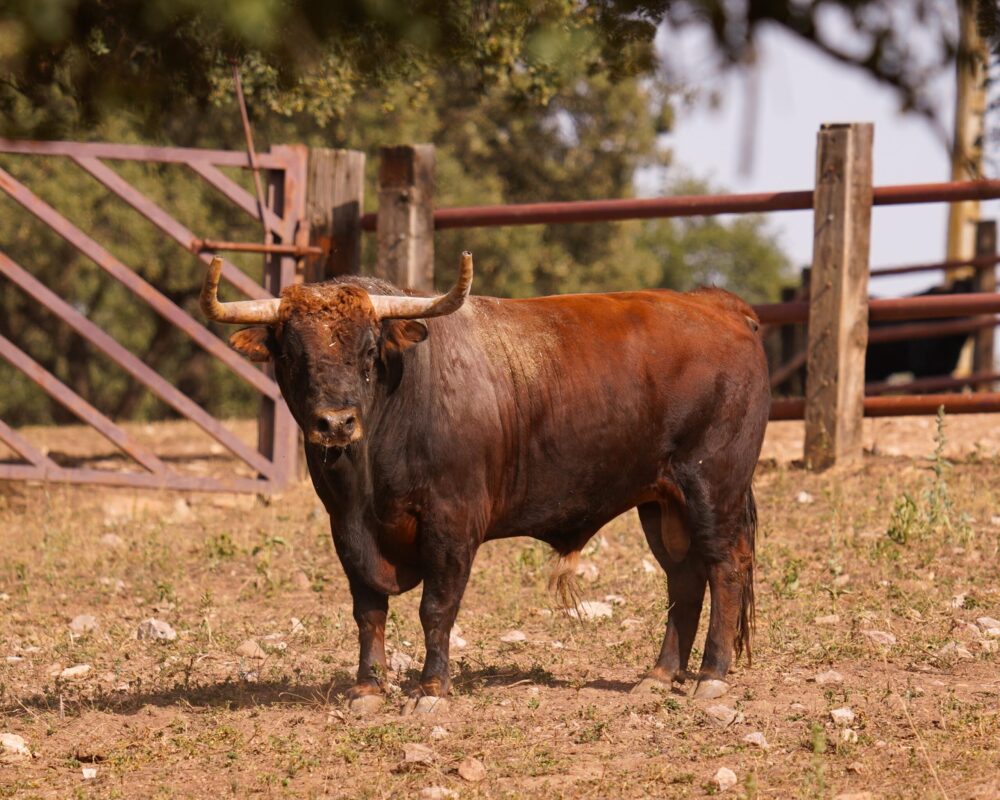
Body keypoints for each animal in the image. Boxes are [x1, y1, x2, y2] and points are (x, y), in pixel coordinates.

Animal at [199, 253, 768, 708]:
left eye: (367, 351)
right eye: (290, 353)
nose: (336, 423)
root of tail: (717, 304)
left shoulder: (452, 523)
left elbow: (436, 607)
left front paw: (431, 688)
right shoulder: (346, 529)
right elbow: (368, 610)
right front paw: (367, 687)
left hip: (713, 488)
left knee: (724, 568)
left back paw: (711, 676)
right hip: (662, 501)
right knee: (684, 577)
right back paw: (660, 675)